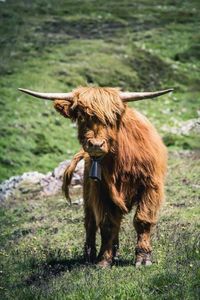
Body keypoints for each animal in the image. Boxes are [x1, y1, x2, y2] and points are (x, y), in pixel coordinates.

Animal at [19, 85, 172, 266]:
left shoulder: (150, 187)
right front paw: (104, 259)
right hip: (88, 194)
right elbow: (107, 224)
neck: (120, 160)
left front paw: (143, 258)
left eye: (112, 117)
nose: (96, 145)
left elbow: (142, 220)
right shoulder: (101, 191)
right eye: (81, 116)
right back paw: (90, 255)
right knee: (90, 223)